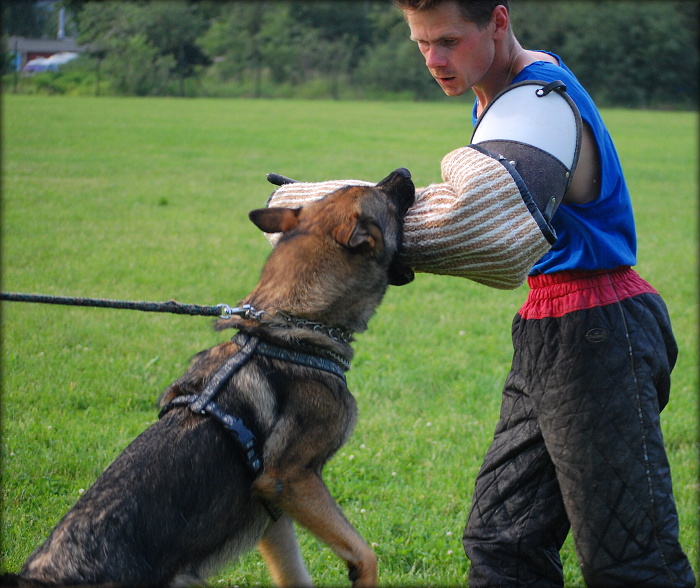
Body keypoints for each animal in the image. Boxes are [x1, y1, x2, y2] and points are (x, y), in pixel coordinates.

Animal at [5, 169, 416, 588]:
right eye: (383, 195)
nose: (404, 172)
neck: (292, 325)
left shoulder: (271, 512)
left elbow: (296, 574)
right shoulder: (290, 479)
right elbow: (365, 554)